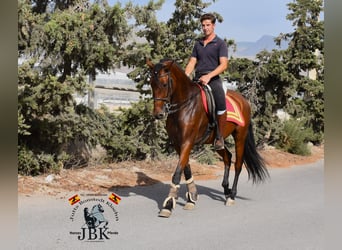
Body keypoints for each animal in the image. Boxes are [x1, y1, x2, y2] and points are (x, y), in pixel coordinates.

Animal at [146, 58, 268, 217]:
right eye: (151, 84)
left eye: (164, 84)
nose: (158, 114)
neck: (185, 105)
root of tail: (244, 101)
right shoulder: (179, 144)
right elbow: (186, 169)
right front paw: (192, 197)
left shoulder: (187, 142)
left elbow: (177, 173)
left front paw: (168, 204)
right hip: (217, 141)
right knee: (227, 157)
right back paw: (226, 190)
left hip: (240, 137)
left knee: (238, 165)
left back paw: (232, 196)